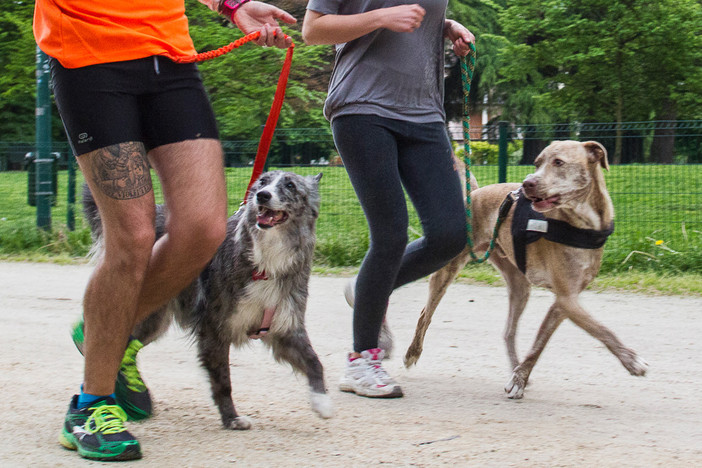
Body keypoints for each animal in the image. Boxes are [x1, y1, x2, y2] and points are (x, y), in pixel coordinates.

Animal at [404, 140, 652, 398]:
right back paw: (412, 352)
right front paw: (631, 360)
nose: (527, 183)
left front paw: (519, 378)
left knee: (508, 332)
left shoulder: (564, 302)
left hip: (519, 285)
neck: (583, 223)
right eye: (537, 162)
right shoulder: (568, 299)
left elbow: (538, 343)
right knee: (425, 314)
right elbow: (601, 329)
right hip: (448, 267)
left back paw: (515, 367)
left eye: (558, 162)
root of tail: (472, 195)